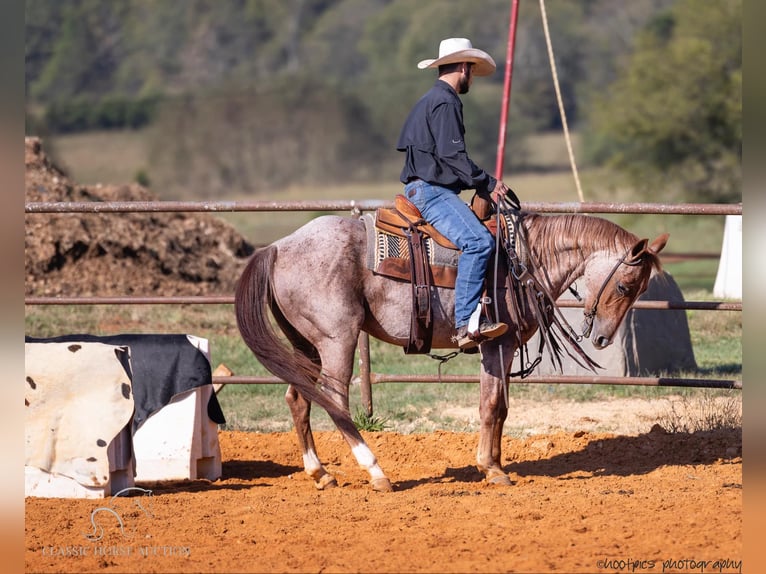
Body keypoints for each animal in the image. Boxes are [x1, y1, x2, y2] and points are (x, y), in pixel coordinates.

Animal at [232, 209, 664, 492]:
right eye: (625, 285)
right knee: (335, 400)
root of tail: (278, 247)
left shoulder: (503, 349)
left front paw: (494, 464)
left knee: (298, 397)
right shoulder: (497, 344)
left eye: (641, 288)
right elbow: (491, 406)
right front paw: (491, 468)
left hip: (305, 343)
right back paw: (376, 472)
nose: (603, 339)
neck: (522, 258)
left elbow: (500, 408)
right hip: (337, 339)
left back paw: (320, 473)